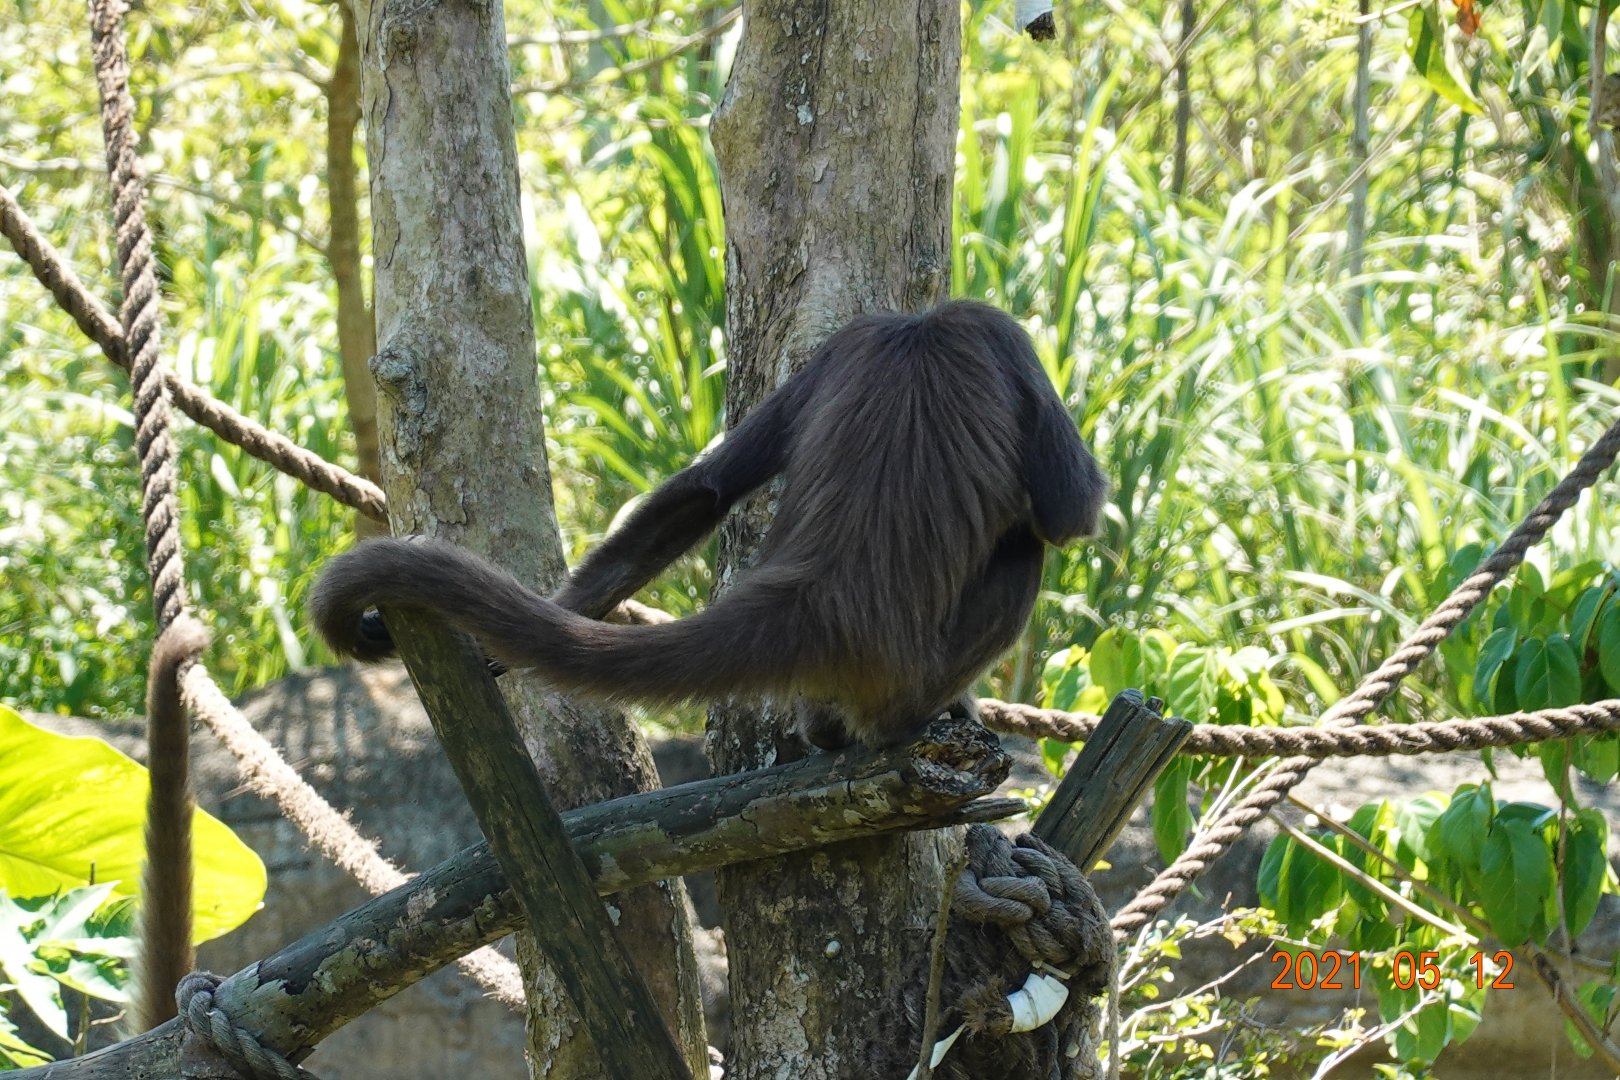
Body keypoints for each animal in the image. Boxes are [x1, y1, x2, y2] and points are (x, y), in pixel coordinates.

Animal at [311, 300, 1108, 750]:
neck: (918, 328)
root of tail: (819, 594)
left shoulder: (843, 345)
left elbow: (707, 488)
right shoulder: (998, 333)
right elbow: (1068, 513)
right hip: (914, 673)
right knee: (1023, 553)